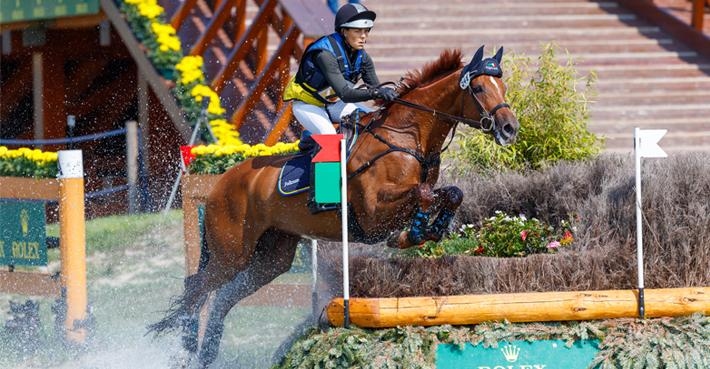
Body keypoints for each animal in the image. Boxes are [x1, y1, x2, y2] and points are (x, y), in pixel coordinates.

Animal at [150, 45, 520, 366]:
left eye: (502, 85)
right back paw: (185, 349)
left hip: (271, 259)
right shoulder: (373, 213)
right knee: (196, 288)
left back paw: (206, 354)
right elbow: (424, 194)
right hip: (232, 253)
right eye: (480, 88)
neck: (406, 136)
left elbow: (451, 193)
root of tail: (219, 186)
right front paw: (412, 233)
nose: (509, 129)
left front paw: (427, 230)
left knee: (222, 297)